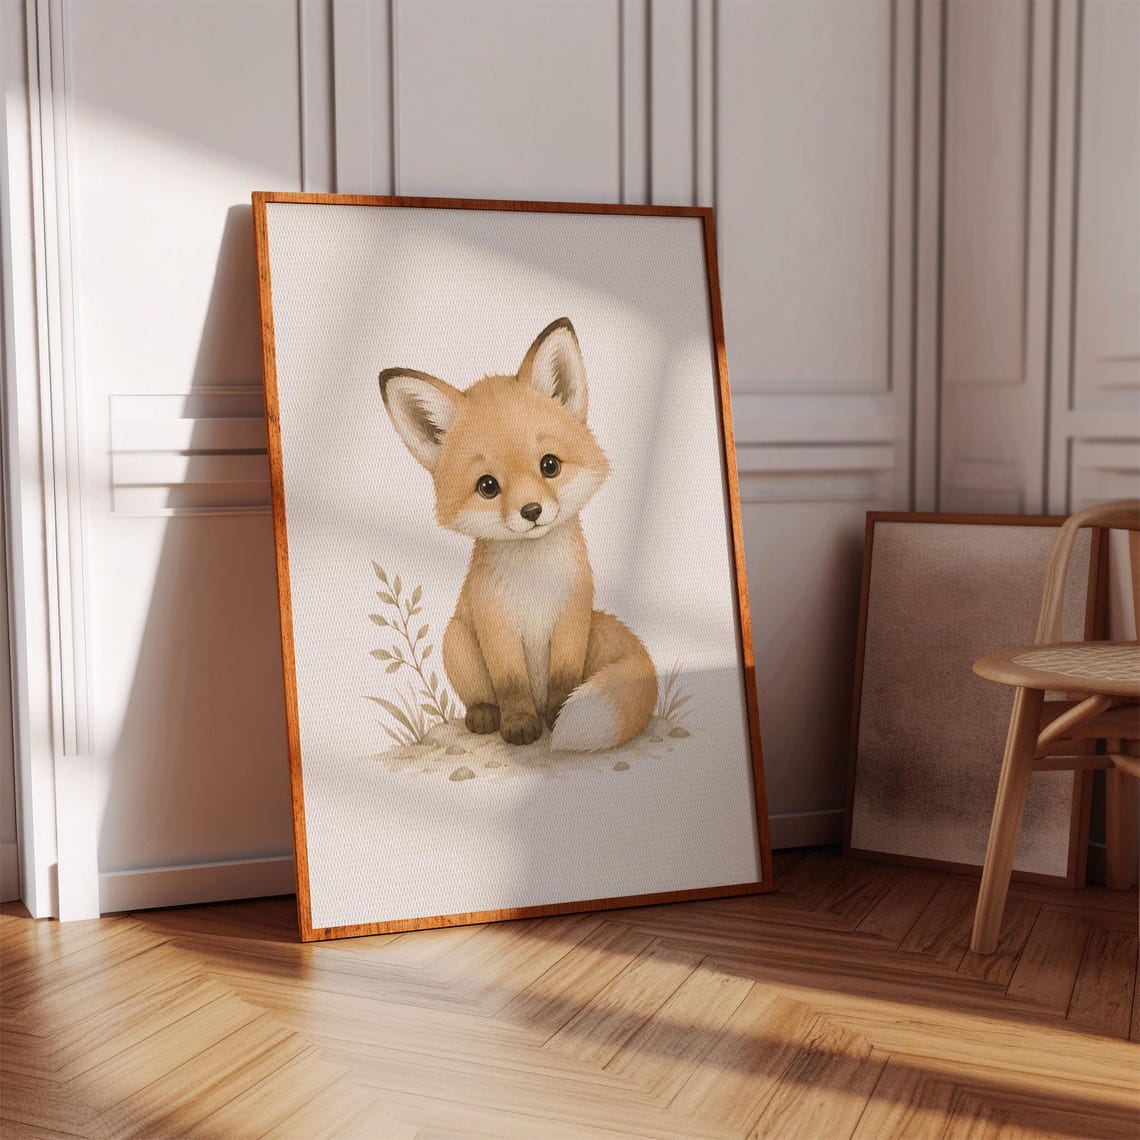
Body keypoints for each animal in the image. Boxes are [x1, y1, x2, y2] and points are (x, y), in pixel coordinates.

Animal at [379, 317, 658, 752]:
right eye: (488, 486)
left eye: (549, 465)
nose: (532, 512)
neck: (535, 580)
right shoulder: (497, 626)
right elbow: (510, 684)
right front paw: (520, 724)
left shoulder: (572, 618)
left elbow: (564, 678)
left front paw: (557, 718)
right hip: (456, 640)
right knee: (482, 695)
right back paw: (484, 715)